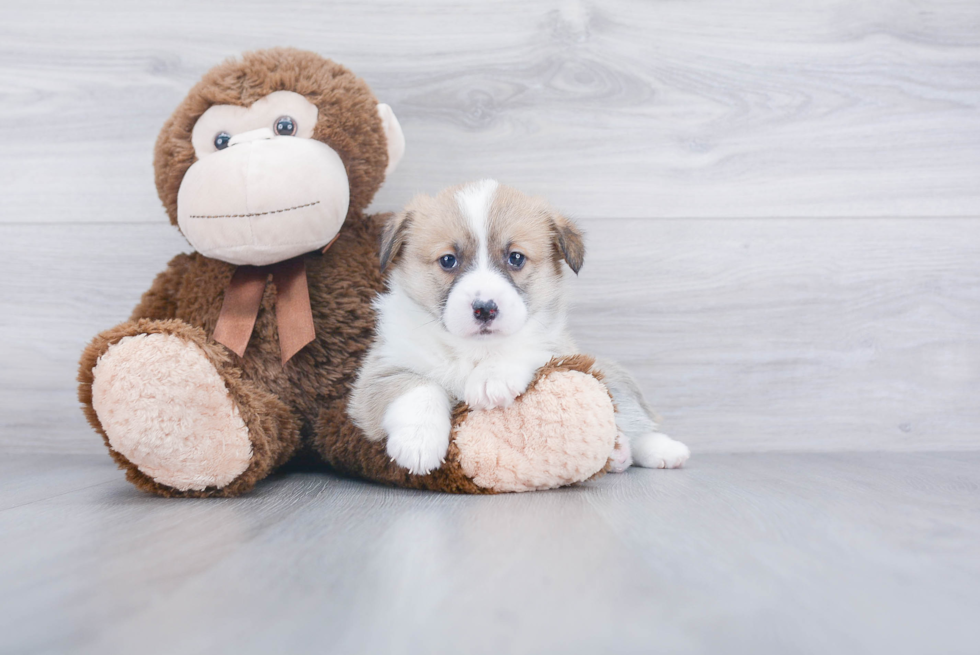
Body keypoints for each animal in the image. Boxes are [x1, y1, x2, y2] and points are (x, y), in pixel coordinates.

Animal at [346, 179, 688, 476]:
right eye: (447, 260)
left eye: (516, 258)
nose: (485, 308)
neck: (473, 351)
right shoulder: (380, 373)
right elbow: (419, 387)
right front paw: (419, 443)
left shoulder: (558, 350)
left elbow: (523, 349)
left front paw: (492, 378)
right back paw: (620, 455)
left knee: (635, 417)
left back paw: (660, 450)